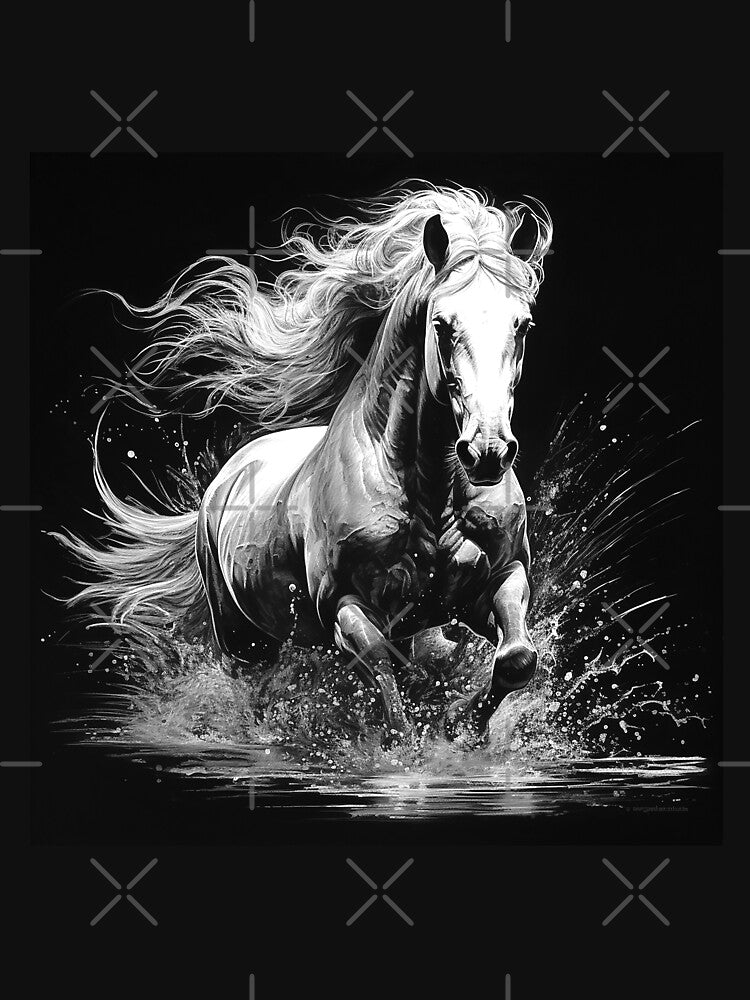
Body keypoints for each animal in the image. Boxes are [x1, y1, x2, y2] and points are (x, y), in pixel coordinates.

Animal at [58, 184, 553, 744]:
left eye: (523, 324)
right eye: (442, 325)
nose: (488, 451)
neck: (431, 492)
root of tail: (225, 479)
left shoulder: (498, 578)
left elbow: (515, 658)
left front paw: (459, 726)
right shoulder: (346, 608)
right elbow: (387, 685)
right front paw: (413, 746)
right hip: (242, 638)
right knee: (257, 687)